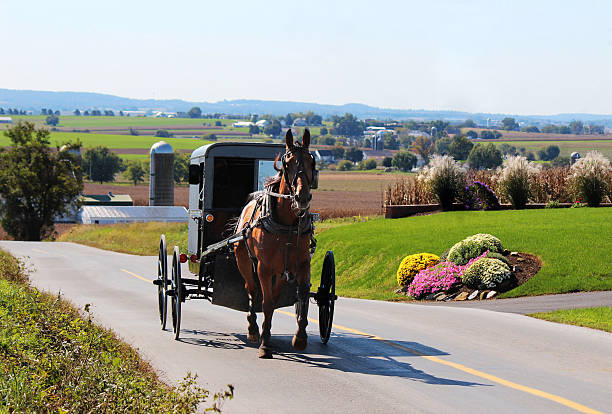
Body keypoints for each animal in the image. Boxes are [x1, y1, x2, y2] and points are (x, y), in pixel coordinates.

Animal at [233, 128, 316, 358]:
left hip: (281, 271)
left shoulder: (301, 264)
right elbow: (267, 303)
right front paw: (265, 343)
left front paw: (300, 337)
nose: (302, 197)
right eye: (287, 162)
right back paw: (253, 329)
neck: (287, 223)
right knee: (251, 289)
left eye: (311, 161)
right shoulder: (264, 267)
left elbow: (302, 293)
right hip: (244, 261)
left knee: (275, 293)